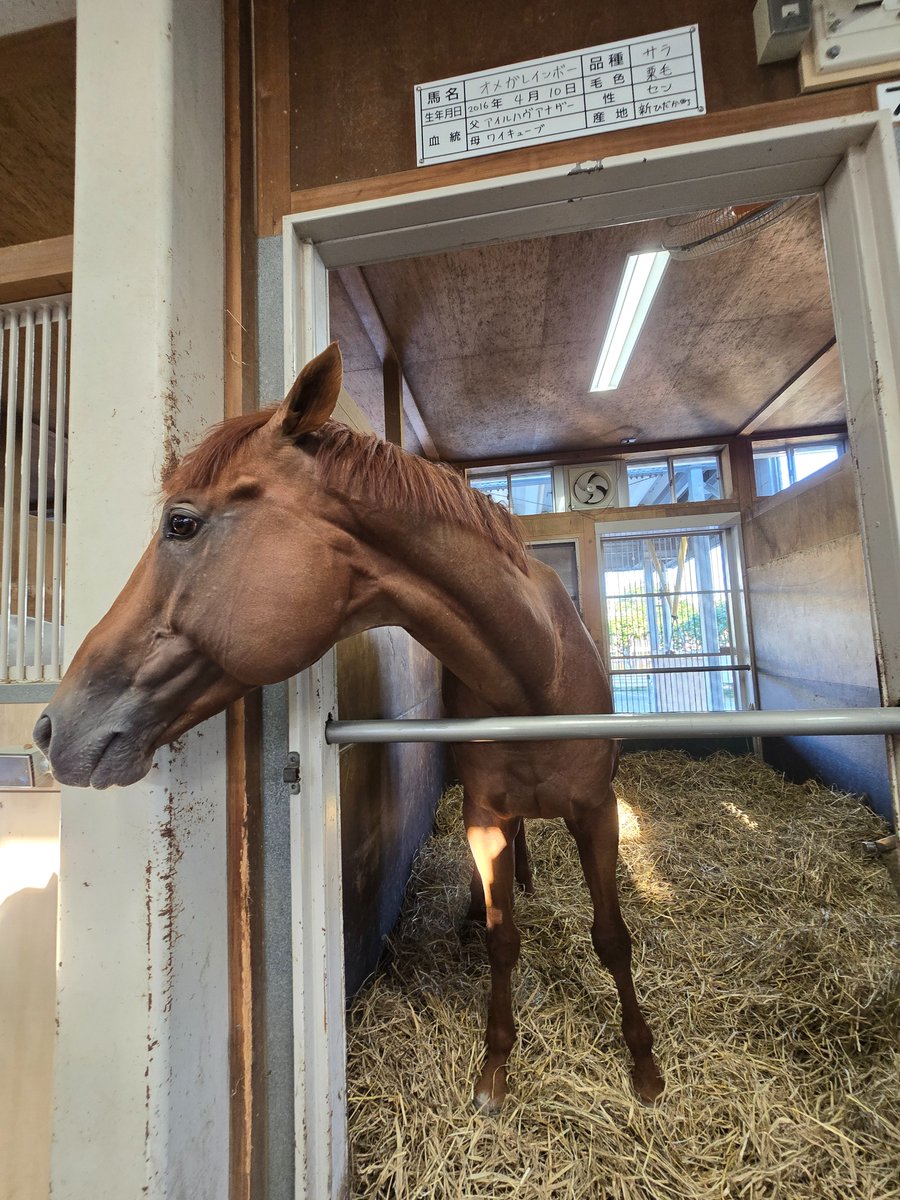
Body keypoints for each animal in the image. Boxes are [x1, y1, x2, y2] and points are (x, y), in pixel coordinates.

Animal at [34, 342, 664, 1109]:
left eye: (181, 523)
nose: (52, 728)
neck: (533, 675)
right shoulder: (485, 815)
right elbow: (502, 937)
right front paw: (494, 1067)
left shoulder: (598, 812)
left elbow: (612, 935)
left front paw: (644, 1066)